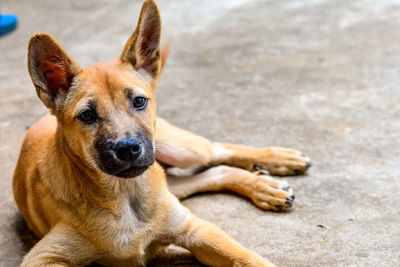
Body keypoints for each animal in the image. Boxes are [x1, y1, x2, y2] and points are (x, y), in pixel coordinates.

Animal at [12, 1, 310, 266]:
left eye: (139, 101)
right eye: (87, 115)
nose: (128, 149)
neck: (125, 194)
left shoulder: (197, 230)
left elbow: (249, 259)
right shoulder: (43, 257)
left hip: (180, 150)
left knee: (217, 149)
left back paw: (275, 166)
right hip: (169, 181)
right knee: (214, 172)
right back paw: (264, 186)